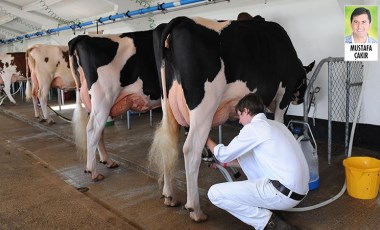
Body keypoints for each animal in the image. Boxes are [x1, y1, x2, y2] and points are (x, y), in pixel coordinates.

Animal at [69, 30, 161, 181]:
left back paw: (107, 161)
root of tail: (83, 37)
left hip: (94, 104)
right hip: (103, 98)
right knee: (93, 129)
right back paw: (93, 171)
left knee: (99, 131)